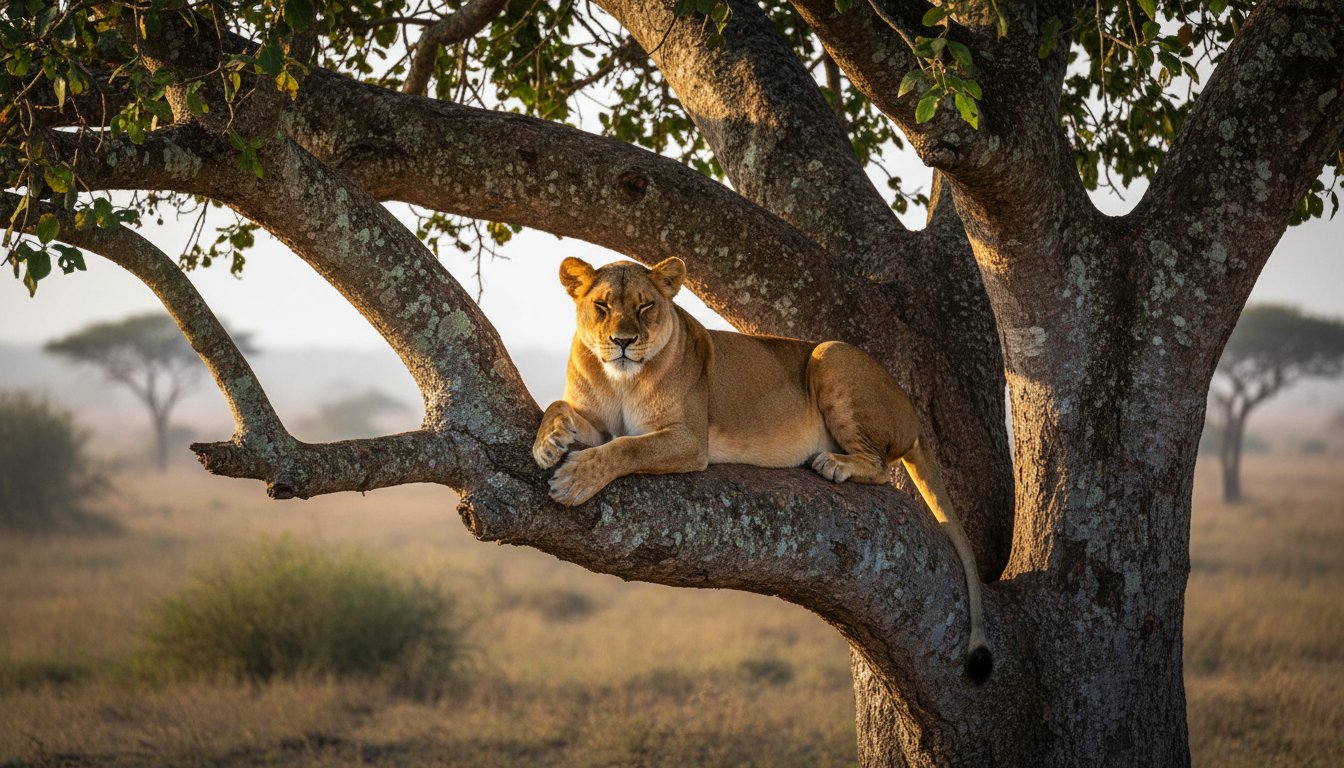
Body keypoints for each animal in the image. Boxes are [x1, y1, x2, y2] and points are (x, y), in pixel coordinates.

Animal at [533, 256, 992, 682]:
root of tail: (912, 415)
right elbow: (558, 407)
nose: (624, 341)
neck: (620, 379)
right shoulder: (595, 420)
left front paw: (573, 479)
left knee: (879, 466)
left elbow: (627, 448)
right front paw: (547, 443)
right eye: (602, 305)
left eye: (645, 306)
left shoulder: (689, 440)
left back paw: (833, 463)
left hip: (830, 353)